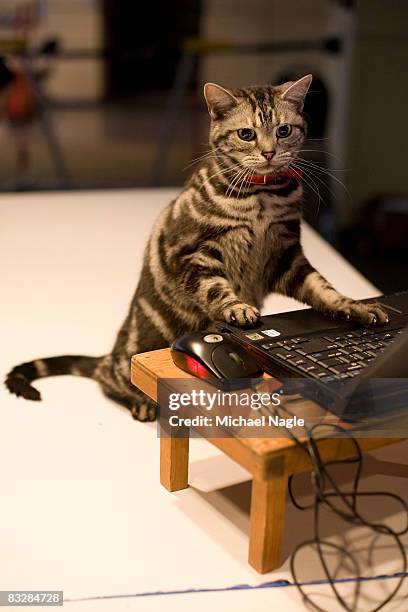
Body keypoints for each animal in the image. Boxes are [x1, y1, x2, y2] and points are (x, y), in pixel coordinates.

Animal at [6, 75, 388, 420]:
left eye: (283, 130)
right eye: (246, 134)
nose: (269, 152)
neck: (263, 197)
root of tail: (108, 353)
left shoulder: (285, 255)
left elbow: (323, 289)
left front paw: (355, 307)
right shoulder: (194, 253)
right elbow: (216, 289)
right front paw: (237, 307)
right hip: (129, 359)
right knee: (109, 380)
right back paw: (140, 401)